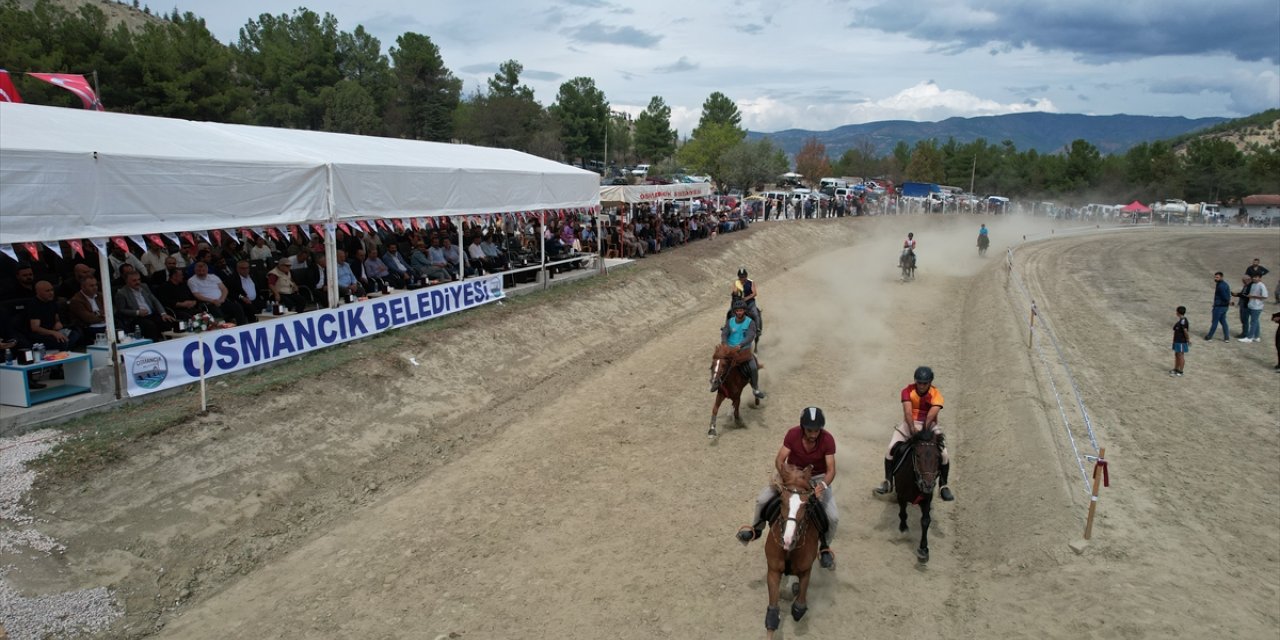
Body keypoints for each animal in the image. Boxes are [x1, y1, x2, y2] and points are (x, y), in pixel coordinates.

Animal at [757, 465, 819, 640]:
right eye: (782, 501)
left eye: (805, 504)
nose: (788, 540)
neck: (790, 552)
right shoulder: (773, 571)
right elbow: (772, 616)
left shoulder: (806, 571)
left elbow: (799, 606)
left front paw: (796, 591)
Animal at [890, 430, 942, 560]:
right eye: (918, 455)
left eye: (937, 457)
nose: (927, 485)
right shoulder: (901, 496)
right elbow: (903, 513)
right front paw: (903, 529)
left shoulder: (927, 498)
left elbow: (925, 520)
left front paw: (923, 550)